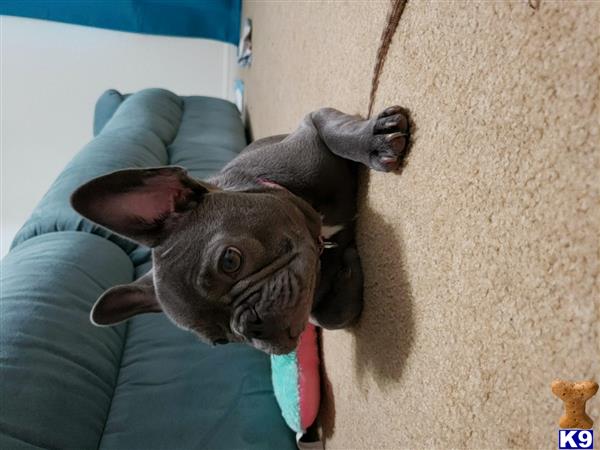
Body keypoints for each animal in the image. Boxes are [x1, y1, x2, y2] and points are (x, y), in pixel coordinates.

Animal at [69, 106, 408, 356]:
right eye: (222, 340)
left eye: (230, 261)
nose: (251, 327)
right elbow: (326, 316)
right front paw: (349, 273)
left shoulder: (312, 122)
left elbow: (336, 132)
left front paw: (373, 140)